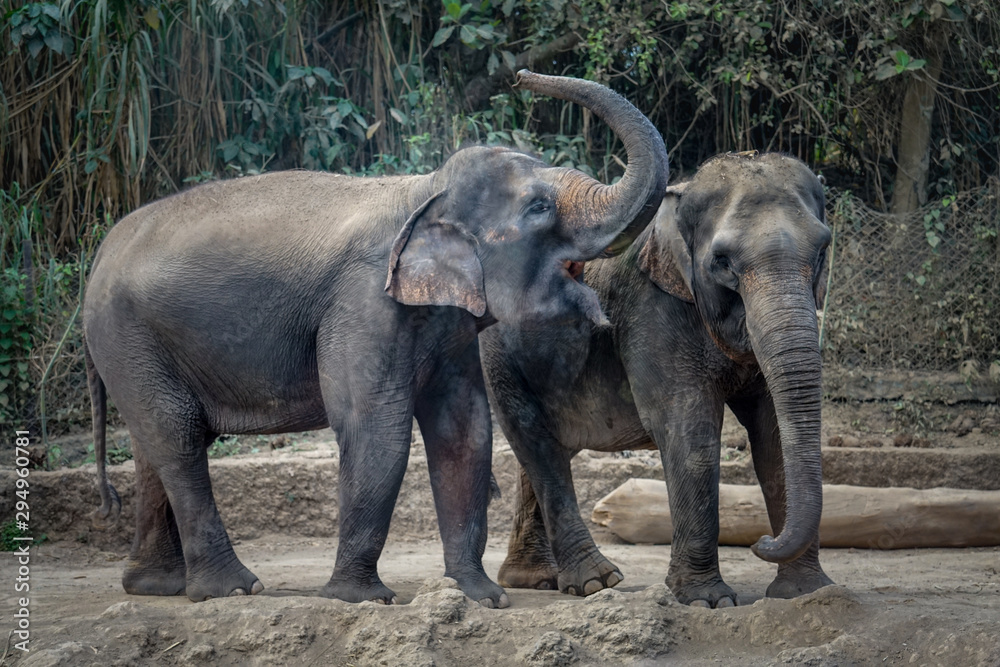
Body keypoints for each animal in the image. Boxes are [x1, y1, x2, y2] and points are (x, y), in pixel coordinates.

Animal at [83, 70, 669, 606]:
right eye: (539, 208)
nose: (521, 75)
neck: (424, 190)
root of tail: (99, 257)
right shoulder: (363, 304)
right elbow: (375, 428)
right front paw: (359, 598)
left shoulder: (448, 323)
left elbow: (465, 431)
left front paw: (479, 597)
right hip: (125, 335)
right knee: (178, 438)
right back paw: (232, 589)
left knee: (156, 444)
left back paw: (156, 586)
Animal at [480, 151, 834, 608]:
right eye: (722, 261)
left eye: (823, 248)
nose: (762, 542)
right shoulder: (651, 308)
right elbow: (687, 428)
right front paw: (706, 601)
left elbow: (772, 435)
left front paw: (805, 593)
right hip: (500, 355)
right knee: (535, 442)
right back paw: (596, 582)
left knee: (546, 450)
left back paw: (534, 579)